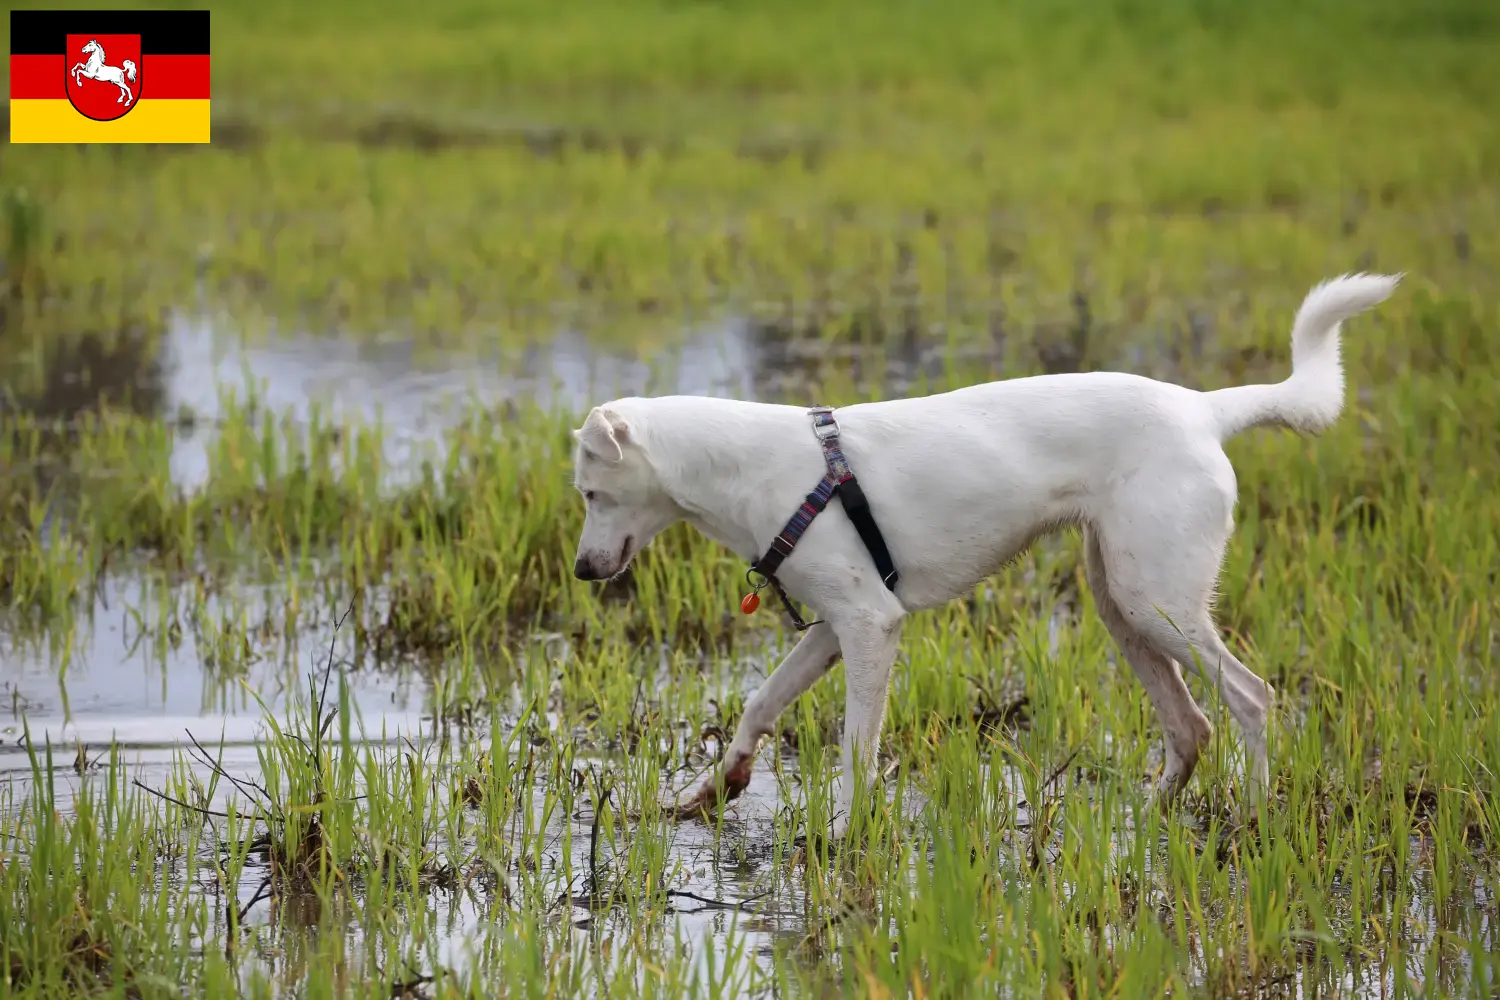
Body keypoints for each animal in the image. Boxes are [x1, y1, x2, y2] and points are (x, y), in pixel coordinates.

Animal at [567, 269, 1398, 839]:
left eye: (590, 493)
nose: (581, 571)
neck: (749, 466)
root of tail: (1203, 408)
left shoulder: (871, 626)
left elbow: (855, 750)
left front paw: (841, 836)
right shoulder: (836, 629)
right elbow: (759, 702)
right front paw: (714, 788)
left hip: (1157, 600)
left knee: (1251, 697)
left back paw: (1253, 819)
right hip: (1123, 605)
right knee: (1191, 726)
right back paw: (1137, 820)